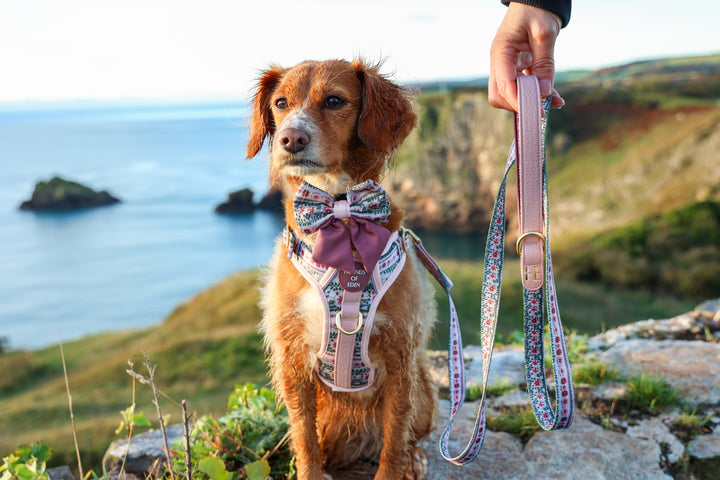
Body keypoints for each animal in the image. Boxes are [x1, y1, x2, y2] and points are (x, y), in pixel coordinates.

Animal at [248, 59, 438, 480]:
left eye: (335, 100)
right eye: (281, 103)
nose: (290, 139)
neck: (340, 211)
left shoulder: (401, 358)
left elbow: (394, 440)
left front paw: (397, 465)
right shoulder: (293, 362)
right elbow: (304, 437)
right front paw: (310, 472)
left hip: (424, 390)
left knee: (409, 435)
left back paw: (414, 458)